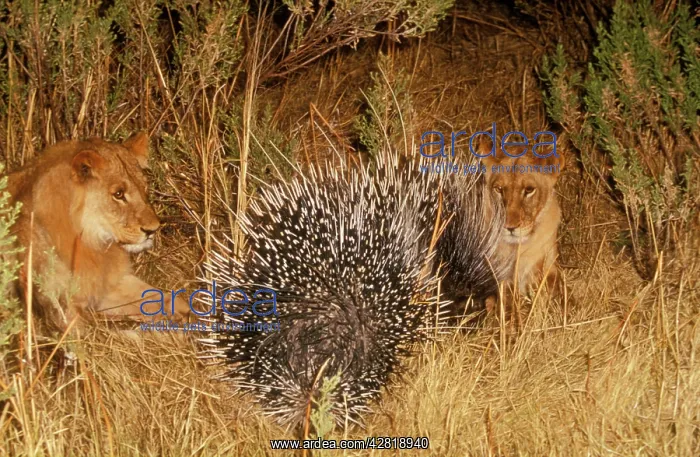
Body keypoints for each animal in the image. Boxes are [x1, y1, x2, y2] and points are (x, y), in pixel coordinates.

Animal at [5, 132, 190, 330]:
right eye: (118, 194)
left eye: (144, 187)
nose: (153, 229)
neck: (92, 243)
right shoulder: (57, 309)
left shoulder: (106, 284)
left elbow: (157, 296)